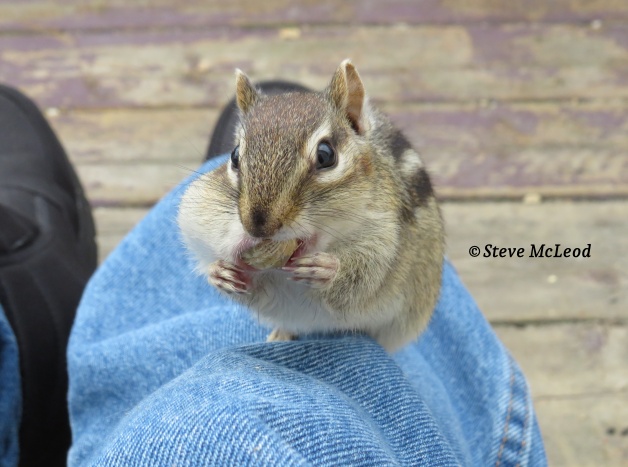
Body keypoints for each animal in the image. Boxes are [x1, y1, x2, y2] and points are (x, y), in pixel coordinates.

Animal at [178, 60, 445, 352]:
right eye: (235, 155)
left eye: (326, 155)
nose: (256, 227)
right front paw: (220, 272)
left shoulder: (386, 239)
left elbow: (364, 279)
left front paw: (328, 269)